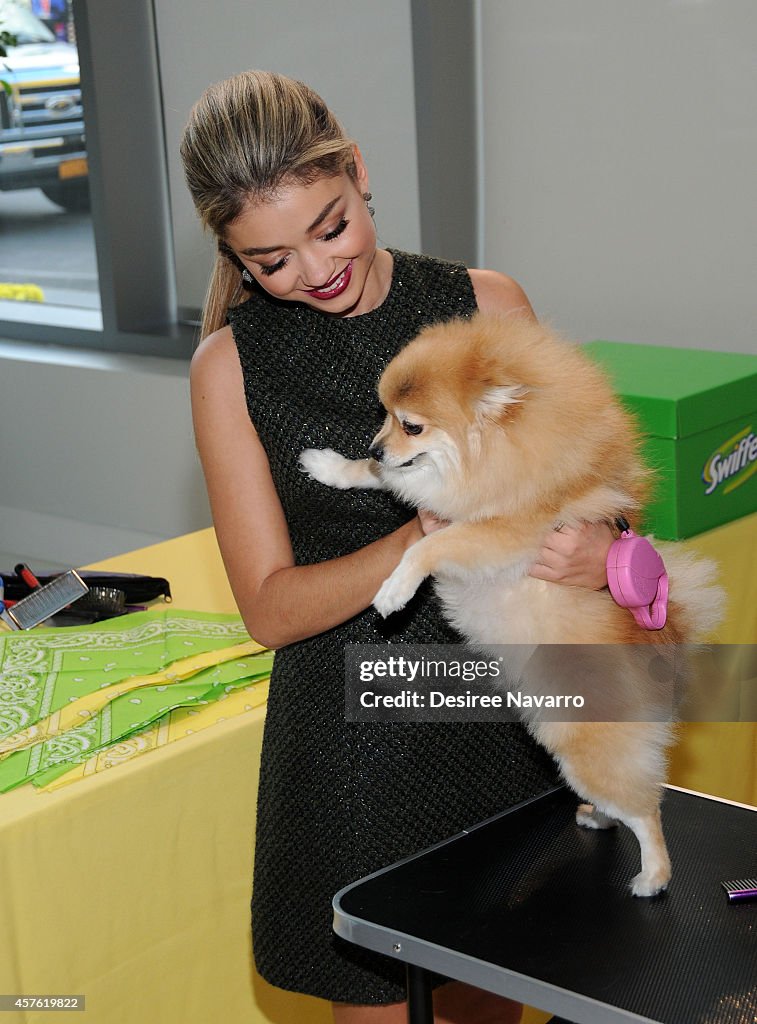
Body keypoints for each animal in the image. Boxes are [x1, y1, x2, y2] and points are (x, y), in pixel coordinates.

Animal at [299, 311, 725, 897]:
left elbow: (427, 545)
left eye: (412, 426)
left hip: (587, 748)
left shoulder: (503, 535)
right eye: (383, 416)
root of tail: (666, 654)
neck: (504, 459)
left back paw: (652, 877)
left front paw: (394, 588)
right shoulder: (435, 489)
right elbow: (382, 479)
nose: (378, 443)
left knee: (646, 810)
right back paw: (599, 818)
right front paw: (332, 465)